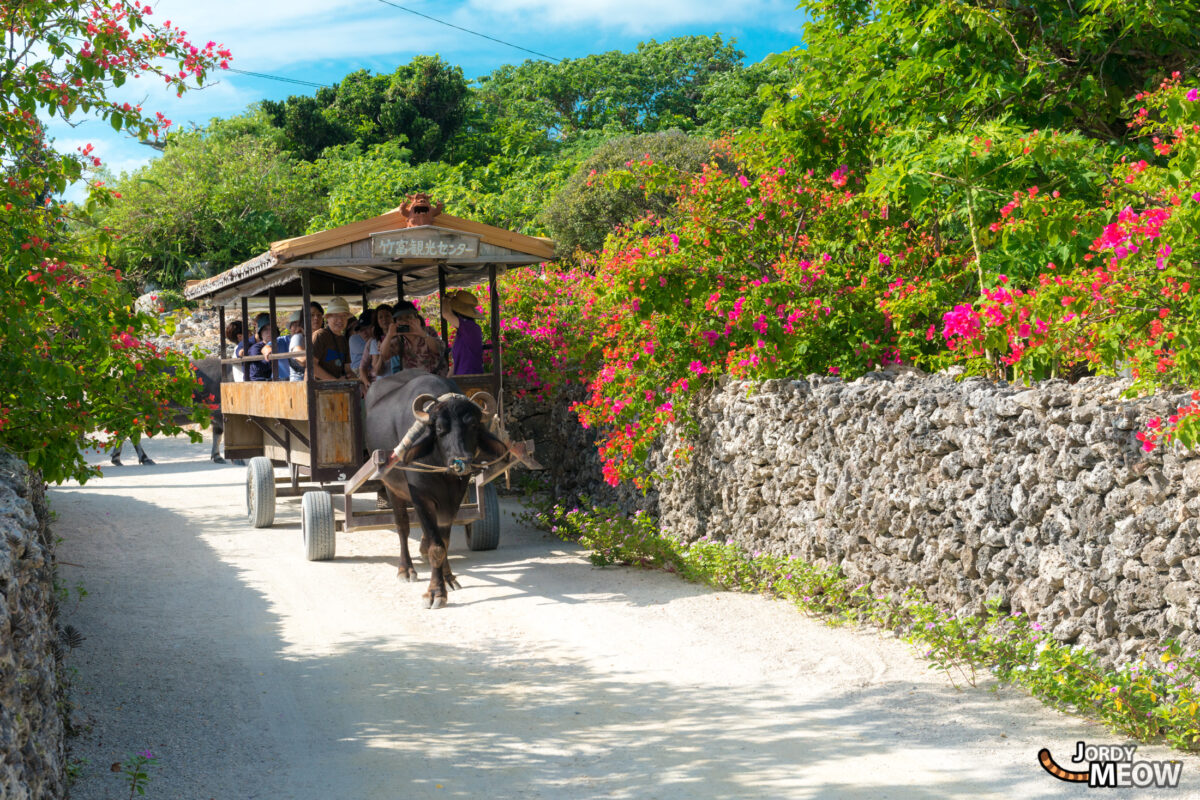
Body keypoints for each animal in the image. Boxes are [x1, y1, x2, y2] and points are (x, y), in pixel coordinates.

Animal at [362, 371, 508, 609]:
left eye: (473, 425)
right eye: (439, 429)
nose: (461, 461)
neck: (441, 469)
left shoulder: (453, 499)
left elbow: (443, 542)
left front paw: (447, 579)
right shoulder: (421, 497)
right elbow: (435, 546)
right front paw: (435, 592)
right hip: (392, 487)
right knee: (402, 527)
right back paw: (405, 569)